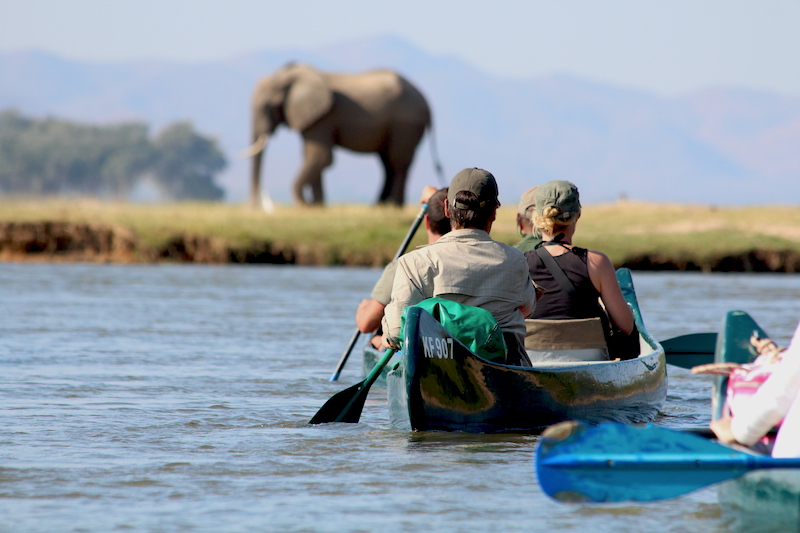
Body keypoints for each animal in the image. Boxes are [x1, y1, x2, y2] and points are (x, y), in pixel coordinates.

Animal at [244, 63, 444, 209]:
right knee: (387, 164)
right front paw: (318, 207)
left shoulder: (323, 117)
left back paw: (392, 207)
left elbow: (321, 157)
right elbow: (312, 156)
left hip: (405, 124)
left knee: (397, 163)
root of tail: (428, 103)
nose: (254, 207)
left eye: (270, 105)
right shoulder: (313, 119)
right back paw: (379, 207)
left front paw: (305, 206)